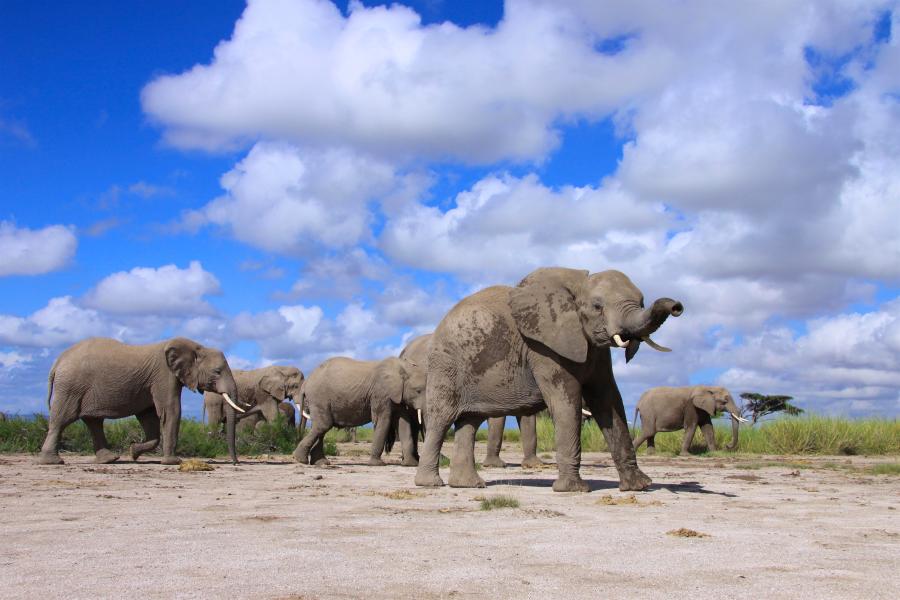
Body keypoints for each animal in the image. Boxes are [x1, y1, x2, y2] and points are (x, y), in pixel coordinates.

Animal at [39, 336, 246, 466]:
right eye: (217, 372)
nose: (236, 464)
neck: (196, 347)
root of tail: (57, 362)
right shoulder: (164, 375)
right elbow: (171, 411)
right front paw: (173, 462)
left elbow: (149, 417)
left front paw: (133, 452)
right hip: (71, 387)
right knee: (62, 419)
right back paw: (52, 462)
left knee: (93, 422)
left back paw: (110, 459)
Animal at [292, 356, 426, 468]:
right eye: (418, 391)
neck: (403, 367)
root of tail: (306, 383)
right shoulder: (381, 393)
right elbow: (383, 420)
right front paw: (377, 464)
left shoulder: (398, 395)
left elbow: (403, 423)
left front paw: (411, 464)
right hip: (319, 397)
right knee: (323, 425)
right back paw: (300, 460)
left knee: (321, 427)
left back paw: (320, 463)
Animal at [414, 268, 684, 492]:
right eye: (597, 306)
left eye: (641, 302)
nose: (677, 307)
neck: (577, 285)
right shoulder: (543, 348)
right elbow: (566, 402)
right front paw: (573, 490)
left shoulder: (594, 349)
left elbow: (608, 400)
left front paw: (639, 486)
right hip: (445, 365)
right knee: (442, 419)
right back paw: (430, 484)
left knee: (470, 421)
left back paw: (468, 485)